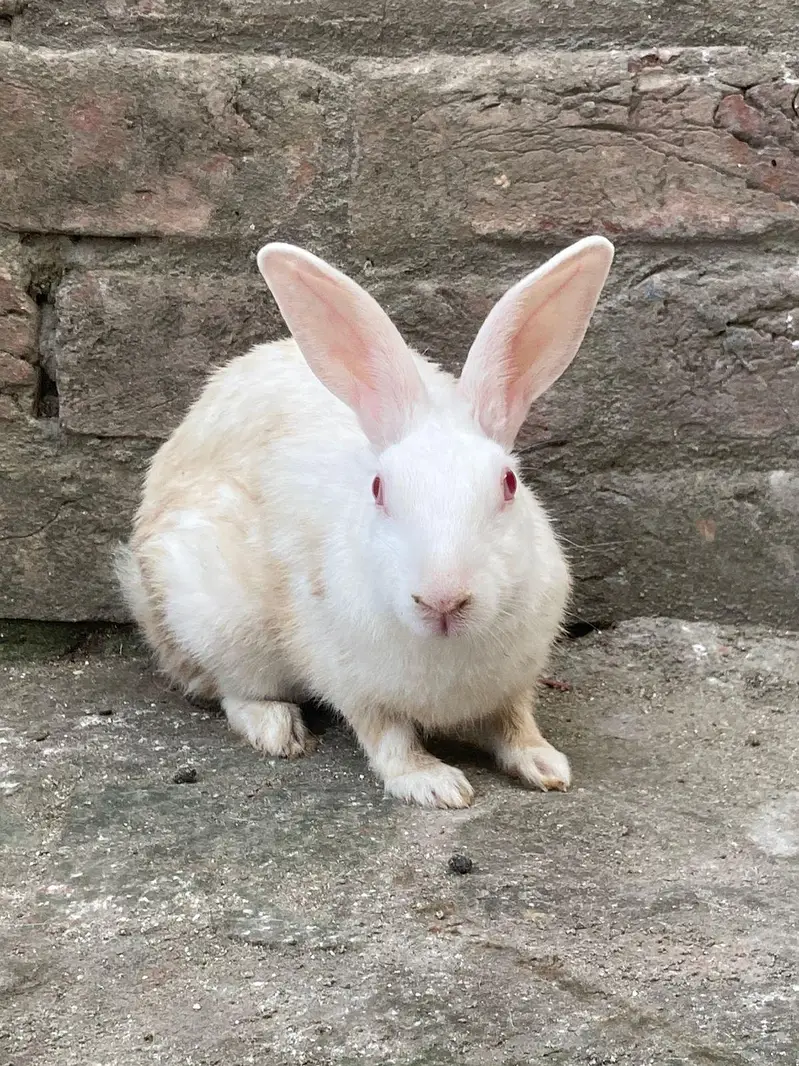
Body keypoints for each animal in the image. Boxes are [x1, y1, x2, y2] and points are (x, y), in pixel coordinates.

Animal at [115, 235, 614, 808]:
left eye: (509, 484)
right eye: (379, 490)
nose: (442, 599)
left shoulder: (514, 685)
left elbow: (515, 724)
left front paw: (545, 765)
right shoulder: (352, 682)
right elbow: (388, 739)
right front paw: (435, 784)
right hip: (212, 616)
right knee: (230, 690)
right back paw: (277, 729)